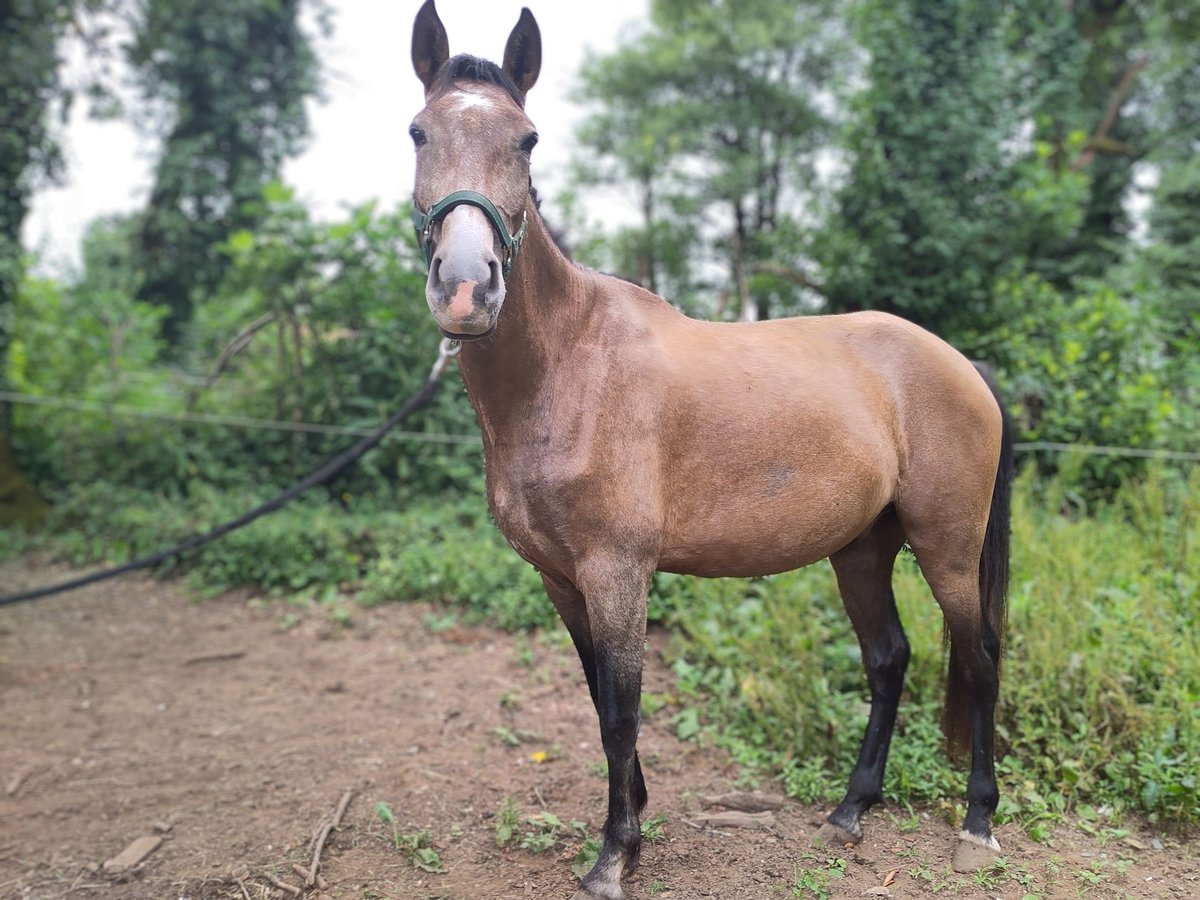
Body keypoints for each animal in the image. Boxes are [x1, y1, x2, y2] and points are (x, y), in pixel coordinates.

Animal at [410, 3, 1012, 897]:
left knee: (976, 659)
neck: (569, 366)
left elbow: (623, 709)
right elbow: (599, 700)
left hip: (946, 546)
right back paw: (850, 812)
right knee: (888, 659)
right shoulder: (560, 578)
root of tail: (961, 365)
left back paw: (976, 823)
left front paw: (614, 855)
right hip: (863, 549)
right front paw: (634, 824)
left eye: (527, 139)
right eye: (418, 132)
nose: (465, 285)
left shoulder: (617, 572)